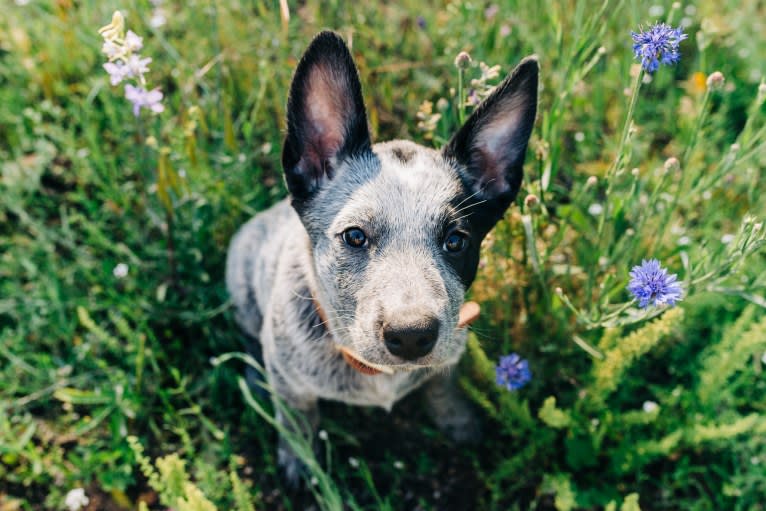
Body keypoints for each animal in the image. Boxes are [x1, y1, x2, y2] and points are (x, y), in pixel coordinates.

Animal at [226, 30, 540, 482]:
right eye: (355, 236)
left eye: (456, 241)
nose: (411, 336)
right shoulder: (292, 385)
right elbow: (297, 418)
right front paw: (301, 461)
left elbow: (442, 384)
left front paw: (456, 418)